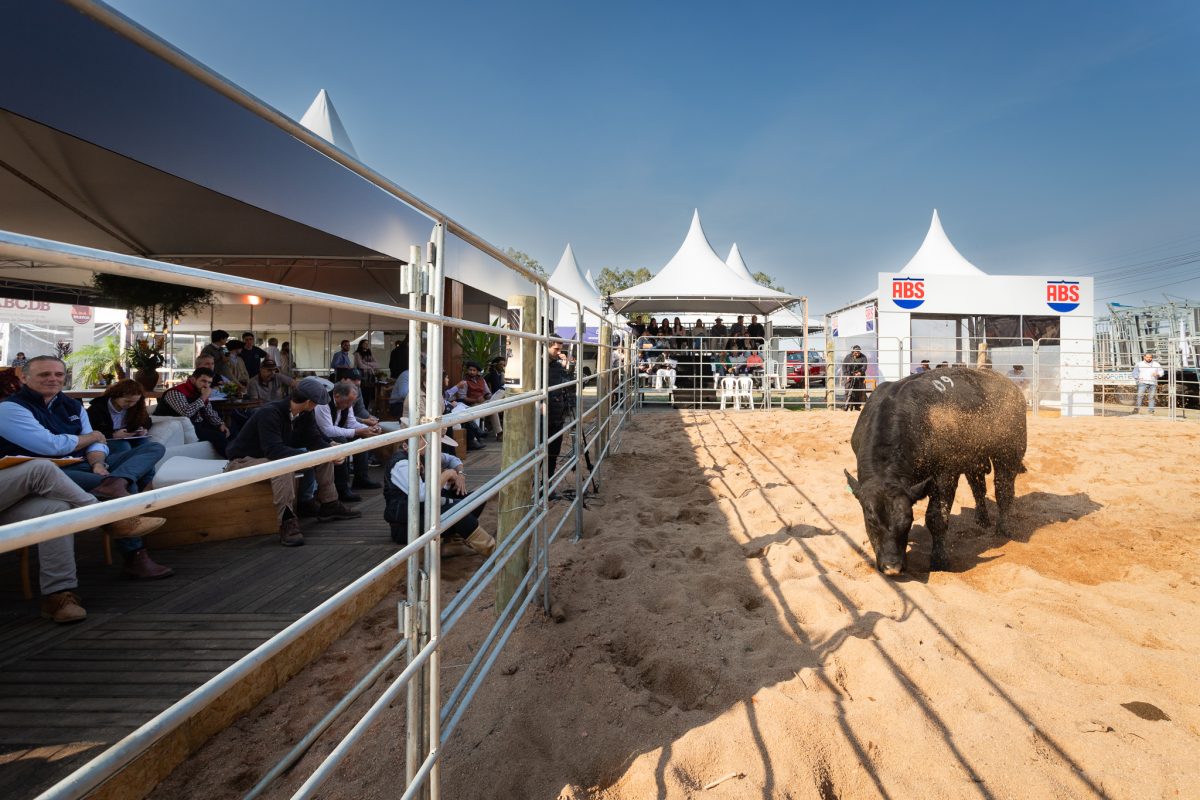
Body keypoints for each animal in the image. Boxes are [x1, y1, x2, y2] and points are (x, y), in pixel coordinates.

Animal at [844, 369, 1032, 575]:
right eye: (870, 521)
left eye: (908, 520)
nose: (892, 566)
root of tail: (1010, 385)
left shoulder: (945, 475)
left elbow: (936, 518)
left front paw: (939, 560)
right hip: (973, 460)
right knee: (978, 487)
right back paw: (982, 519)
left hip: (1009, 452)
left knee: (1003, 490)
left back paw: (1003, 529)